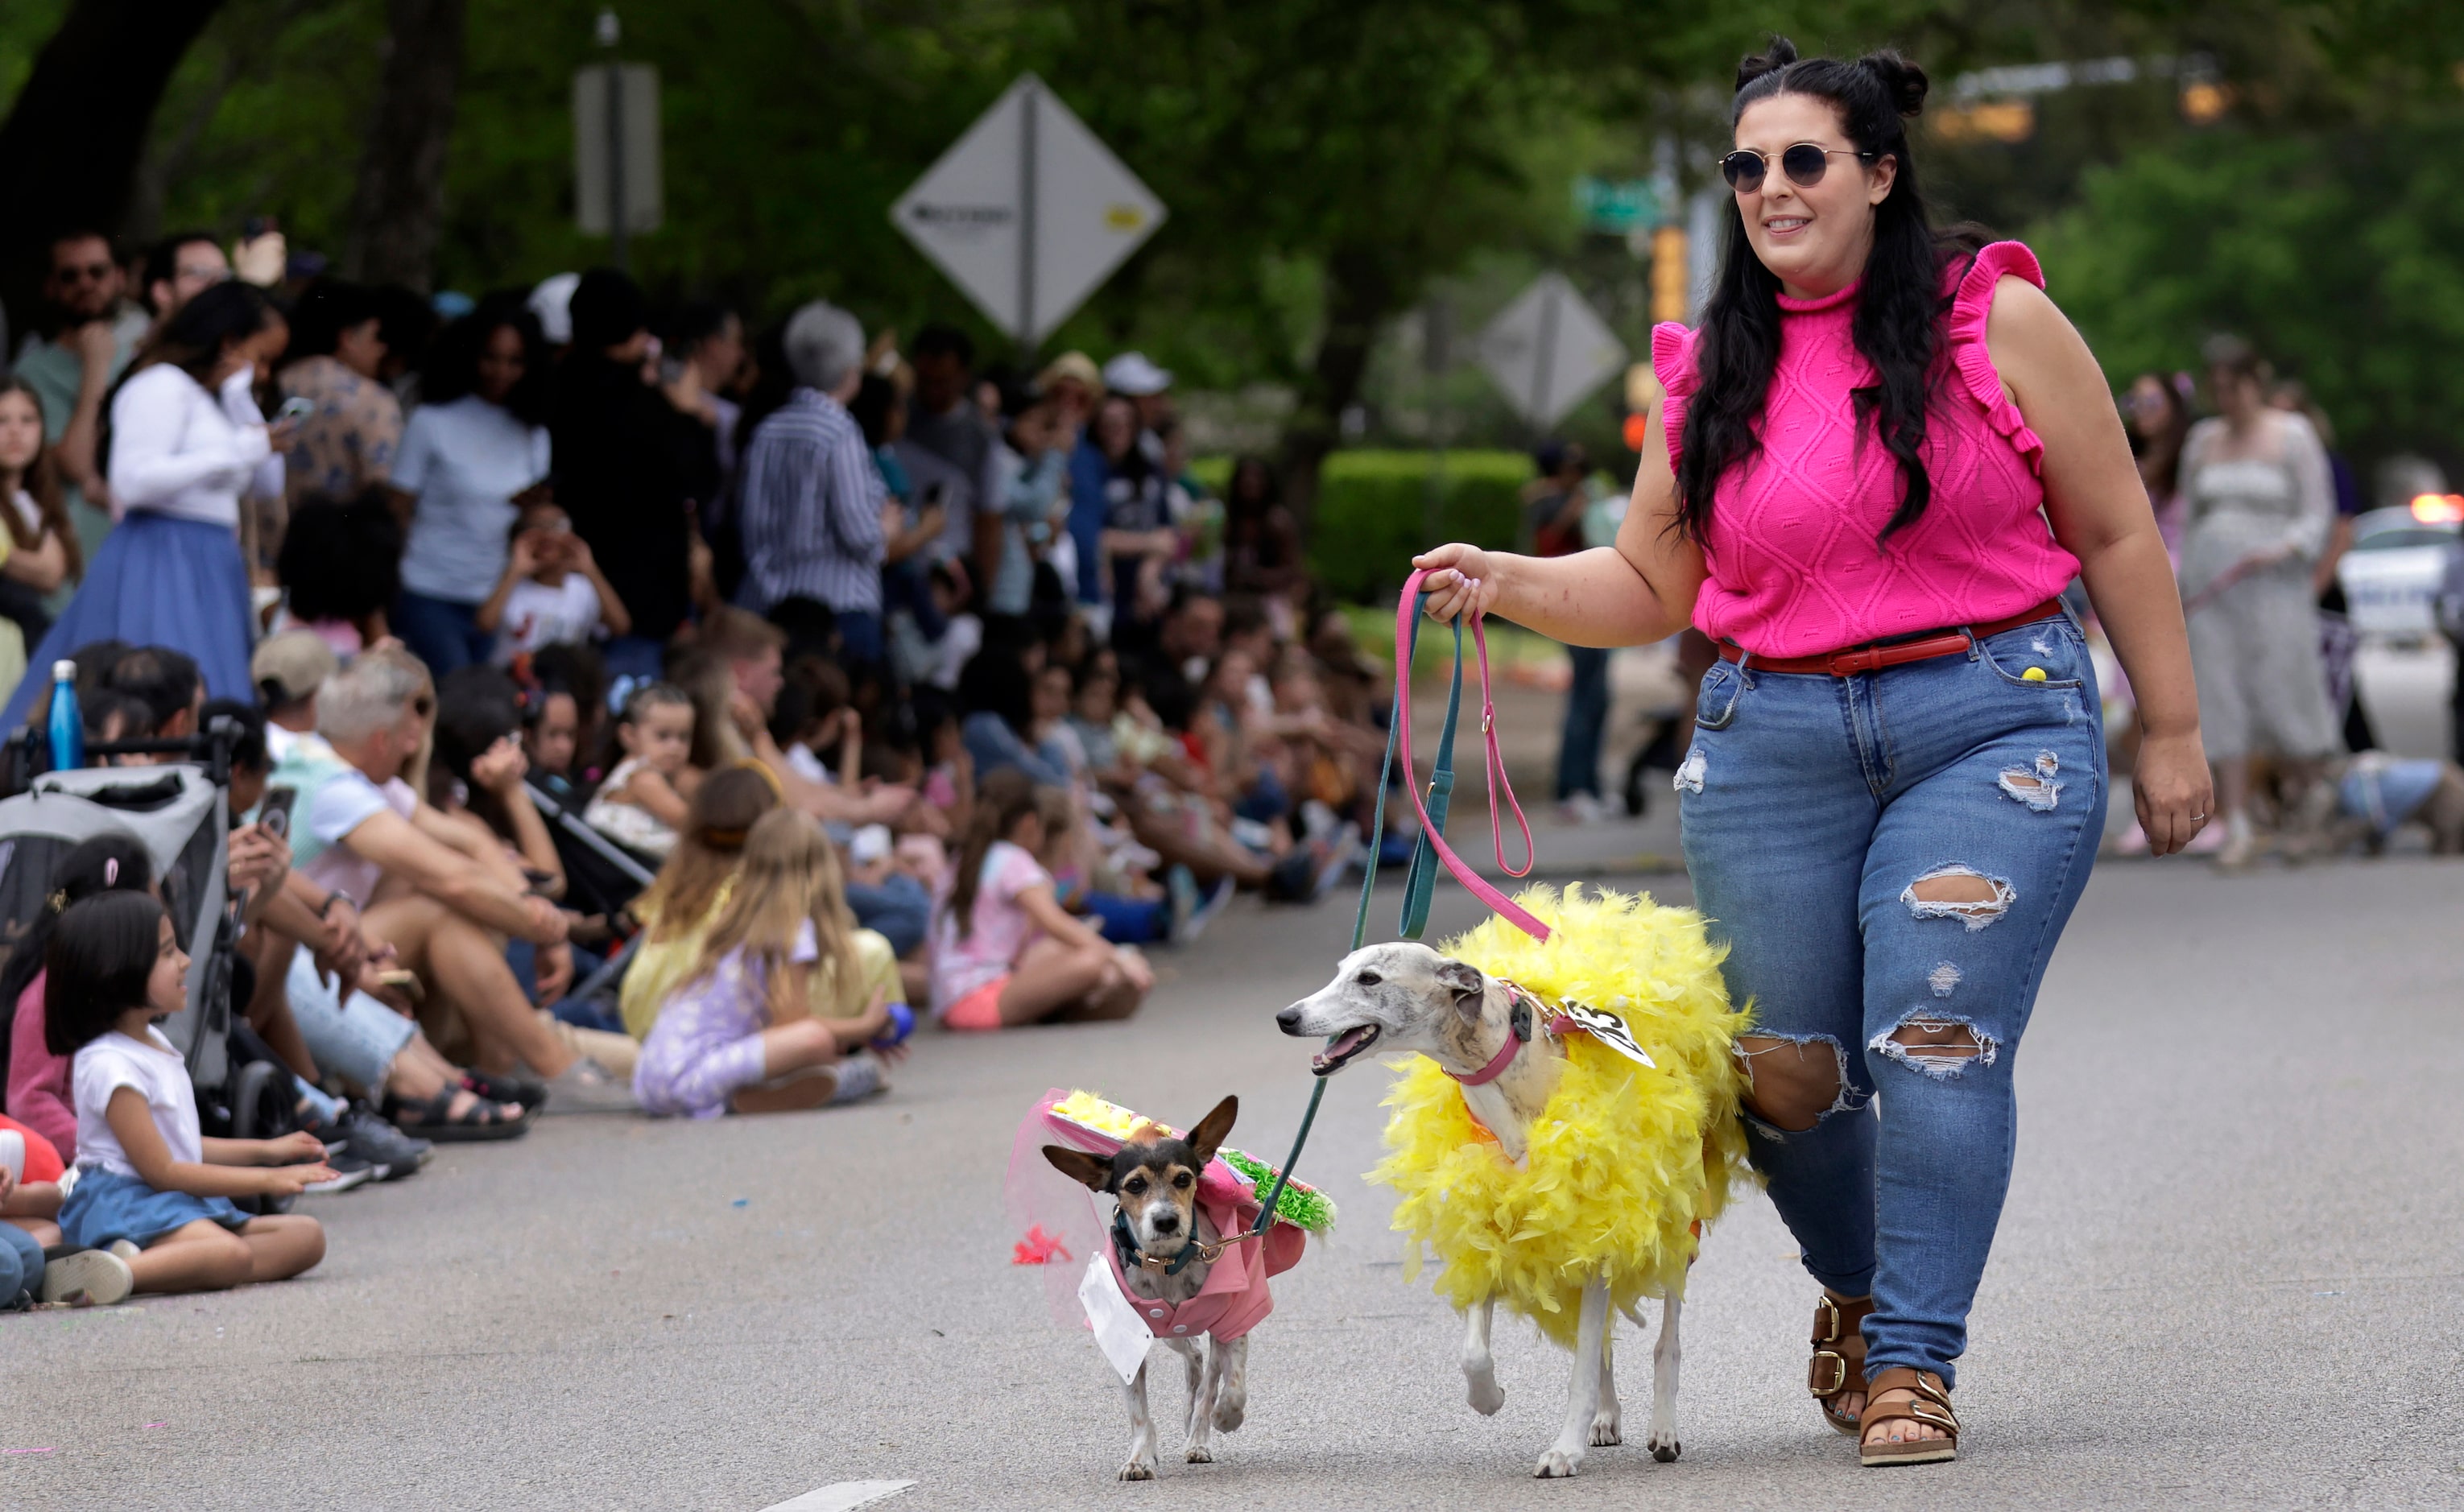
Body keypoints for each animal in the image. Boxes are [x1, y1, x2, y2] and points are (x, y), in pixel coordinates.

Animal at [1049, 1103, 1261, 1477]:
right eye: (1135, 1184)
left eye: (1184, 1179)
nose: (1165, 1220)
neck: (1166, 1263)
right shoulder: (1127, 1343)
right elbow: (1139, 1413)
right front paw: (1140, 1458)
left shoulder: (1233, 1323)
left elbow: (1232, 1386)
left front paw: (1224, 1418)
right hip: (1172, 1333)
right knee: (1194, 1357)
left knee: (1207, 1376)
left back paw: (1198, 1435)